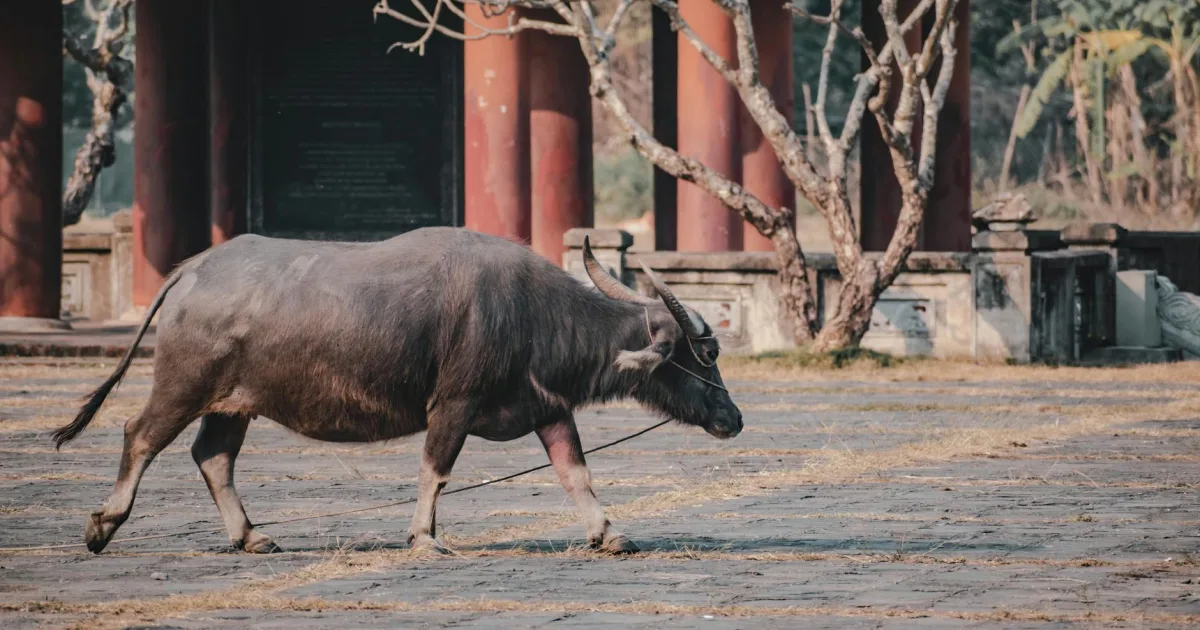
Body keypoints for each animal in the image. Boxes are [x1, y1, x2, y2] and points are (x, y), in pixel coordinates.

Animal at [53, 227, 742, 555]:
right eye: (705, 353)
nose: (733, 419)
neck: (533, 314)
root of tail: (191, 270)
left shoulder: (549, 410)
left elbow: (577, 474)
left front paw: (609, 533)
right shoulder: (453, 406)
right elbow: (436, 469)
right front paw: (425, 537)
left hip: (234, 406)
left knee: (212, 457)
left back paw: (251, 536)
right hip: (182, 384)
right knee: (140, 436)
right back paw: (103, 524)